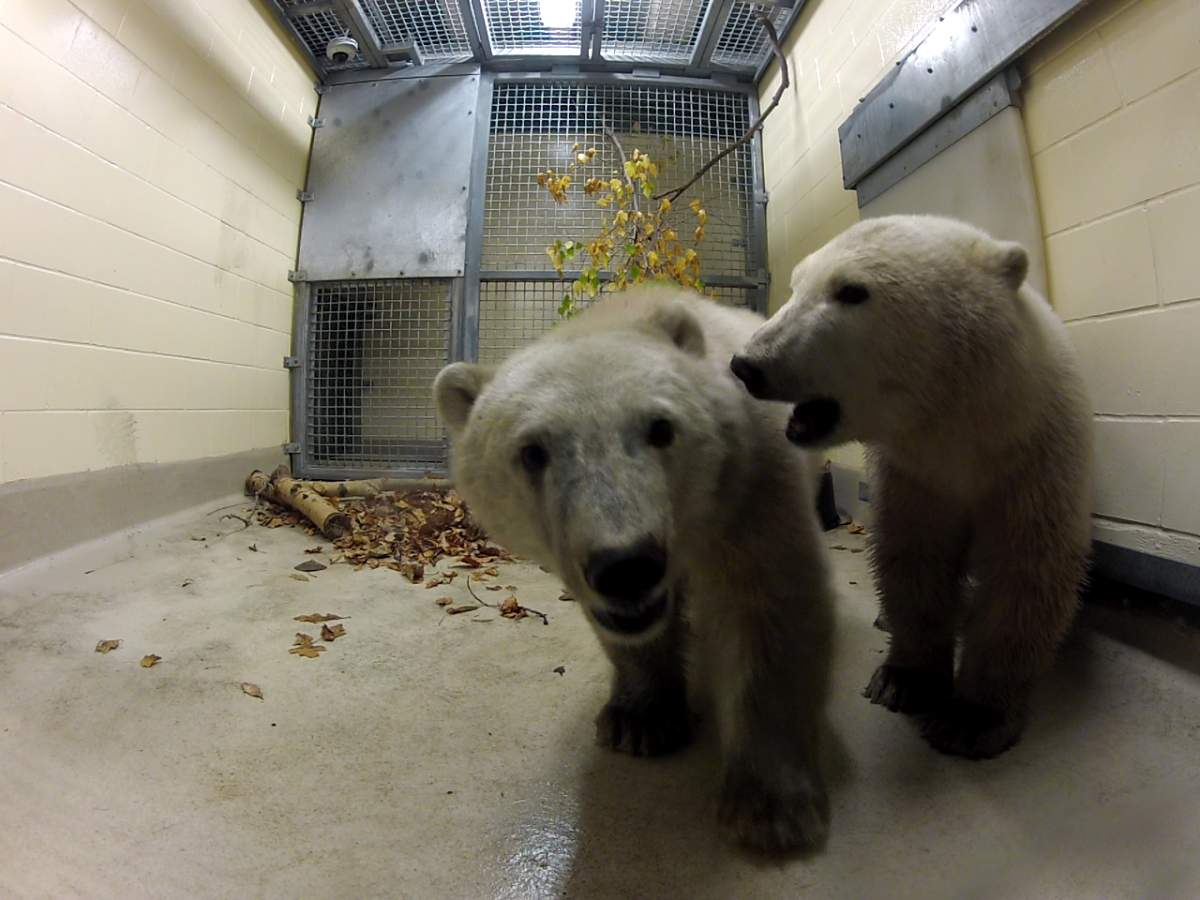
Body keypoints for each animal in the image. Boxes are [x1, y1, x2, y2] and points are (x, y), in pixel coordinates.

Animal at [433, 285, 836, 852]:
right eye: (532, 452)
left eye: (661, 428)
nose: (626, 567)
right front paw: (639, 720)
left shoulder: (751, 480)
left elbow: (768, 601)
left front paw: (769, 808)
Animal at [730, 215, 1093, 760]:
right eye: (796, 285)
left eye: (851, 291)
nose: (748, 363)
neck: (957, 426)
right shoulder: (915, 476)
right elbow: (914, 555)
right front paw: (904, 680)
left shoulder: (1032, 462)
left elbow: (1025, 570)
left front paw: (972, 718)